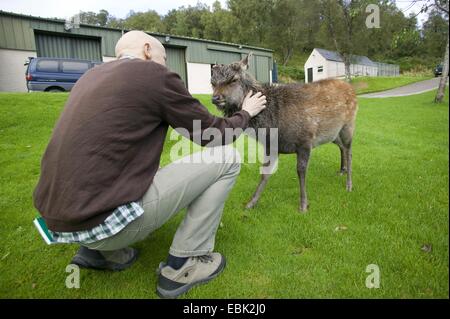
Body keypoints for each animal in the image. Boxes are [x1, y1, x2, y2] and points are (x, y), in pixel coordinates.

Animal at [210, 53, 358, 212]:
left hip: (348, 125)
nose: (215, 98)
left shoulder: (305, 141)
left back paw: (349, 184)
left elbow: (301, 171)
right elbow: (265, 173)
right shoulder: (272, 146)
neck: (272, 126)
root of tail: (352, 89)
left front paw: (303, 205)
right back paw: (342, 170)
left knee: (349, 151)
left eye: (234, 79)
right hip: (332, 133)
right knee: (342, 147)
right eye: (212, 82)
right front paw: (251, 203)